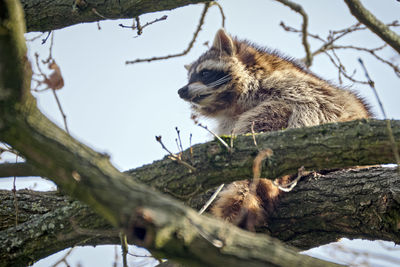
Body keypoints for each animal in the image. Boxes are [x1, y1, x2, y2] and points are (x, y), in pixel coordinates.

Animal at [177, 28, 370, 230]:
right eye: (190, 77)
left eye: (204, 73)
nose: (181, 91)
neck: (232, 103)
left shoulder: (292, 84)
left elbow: (306, 104)